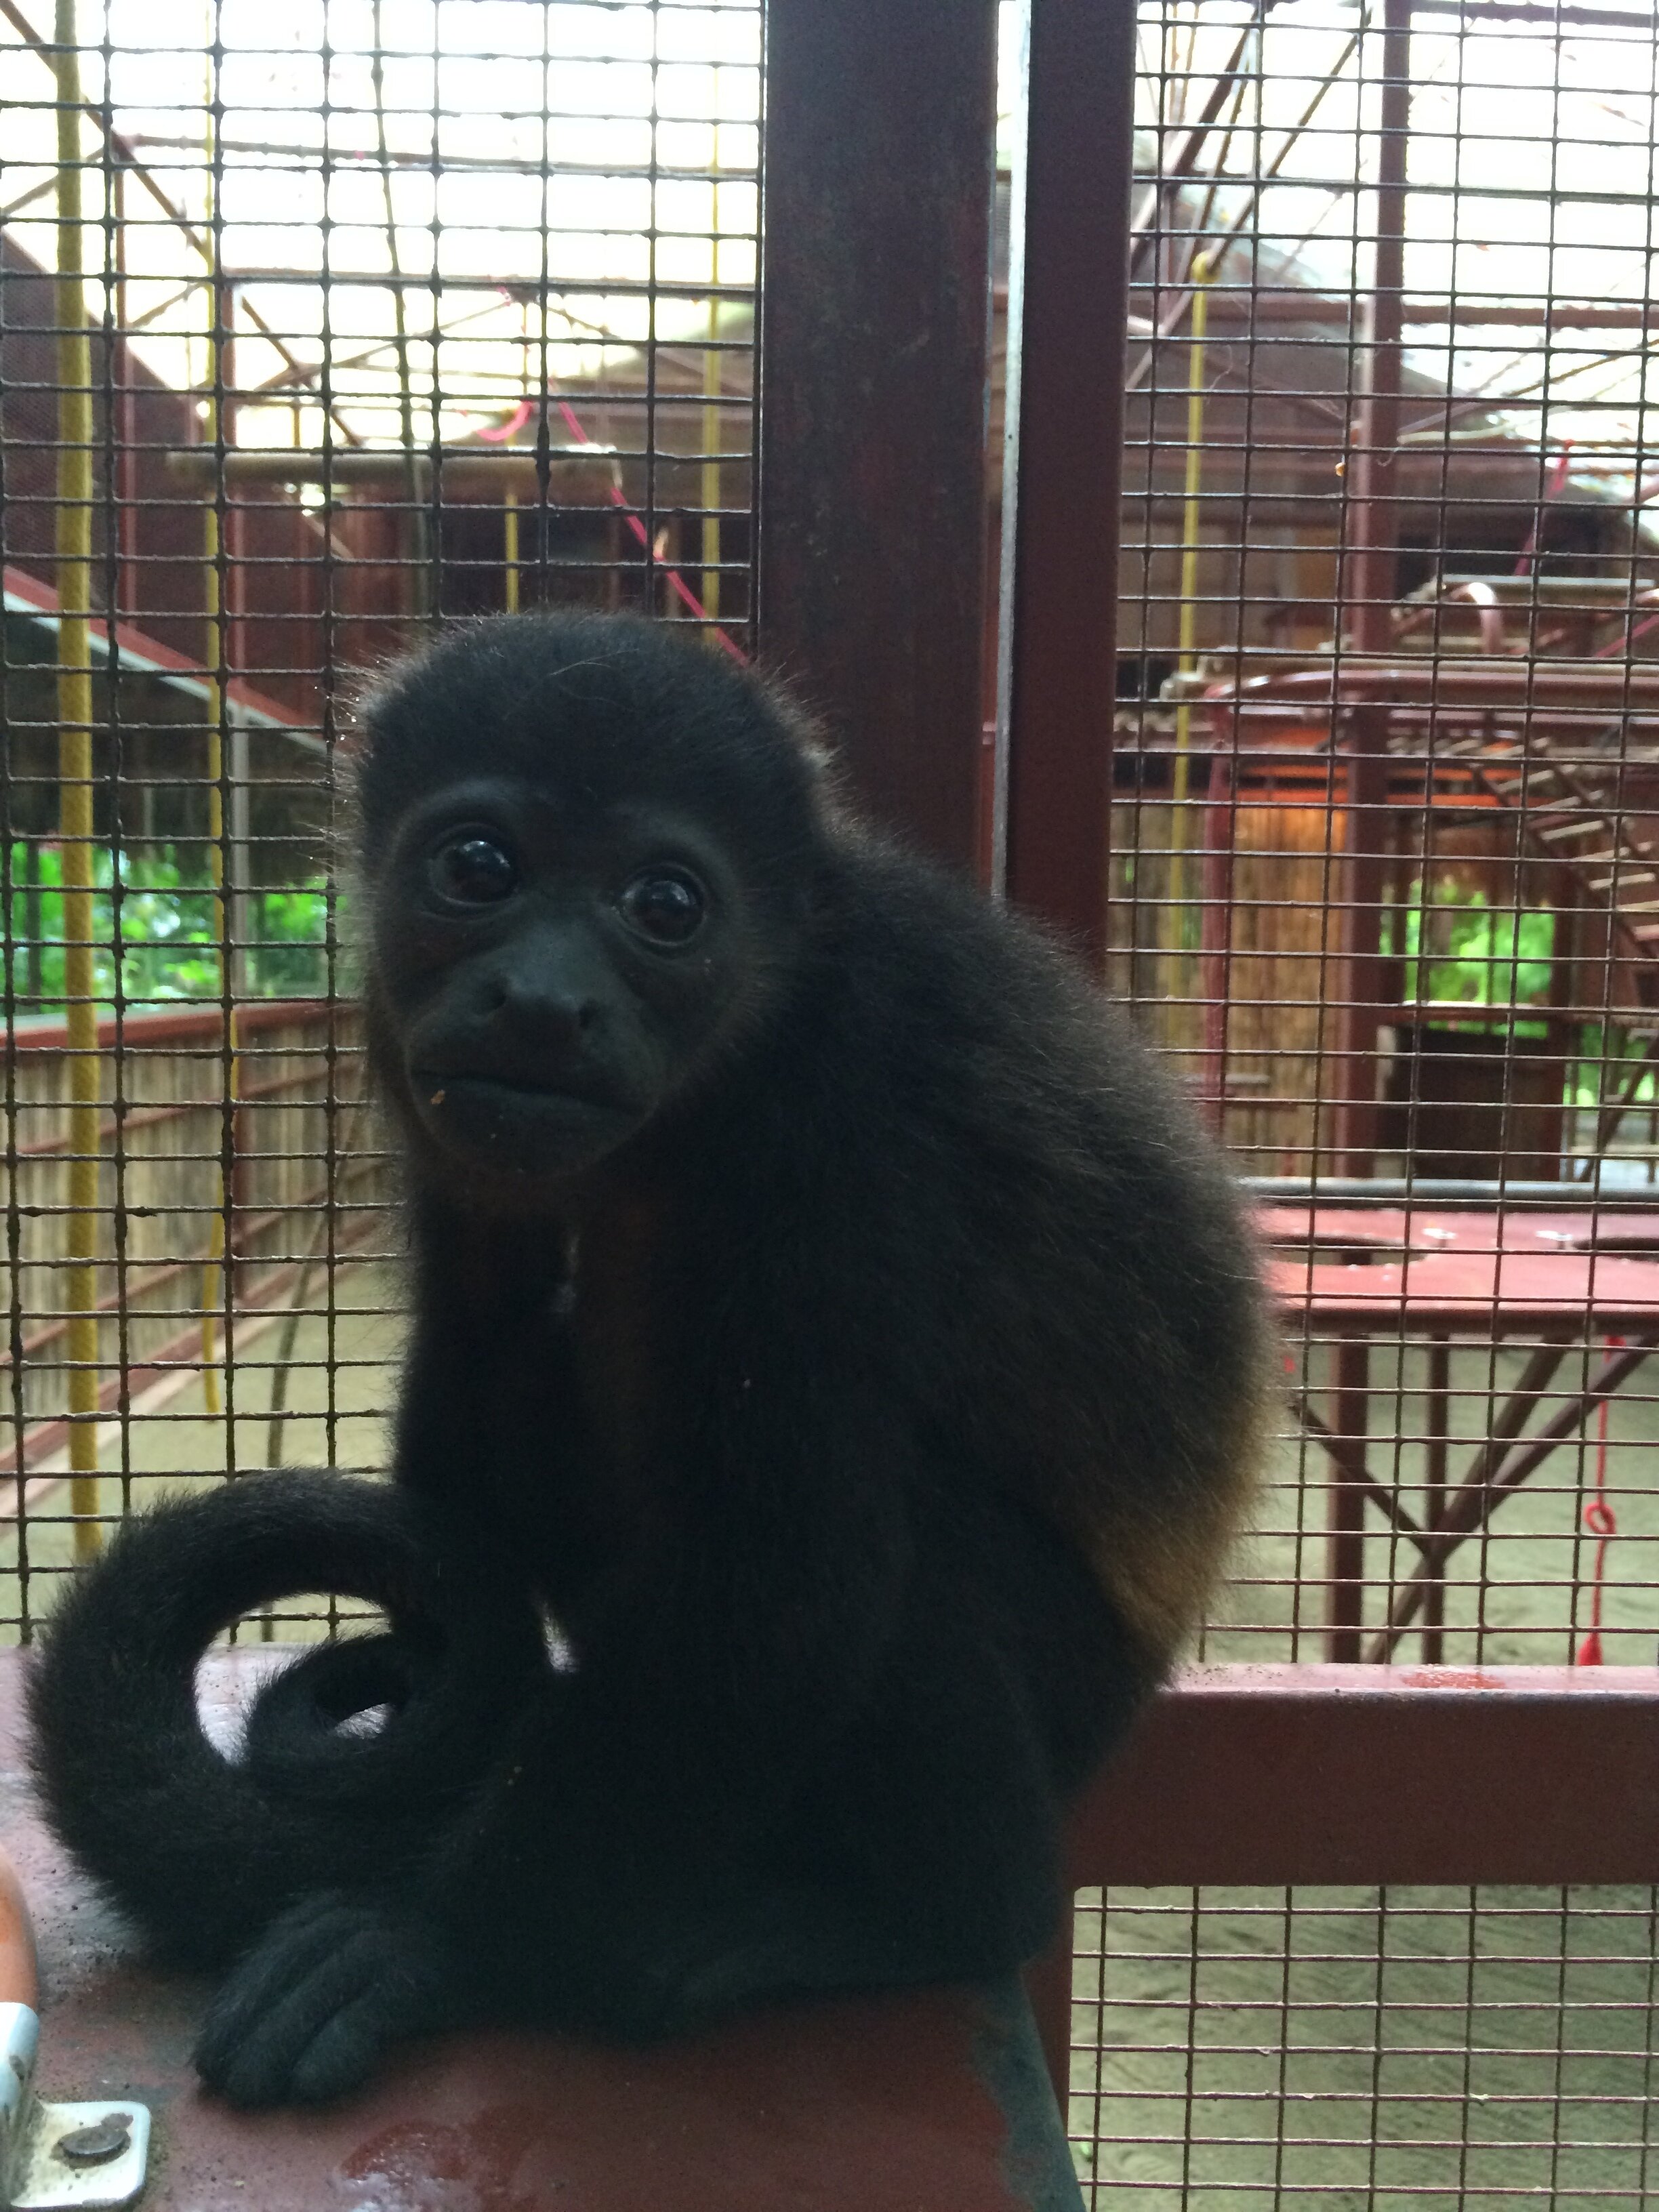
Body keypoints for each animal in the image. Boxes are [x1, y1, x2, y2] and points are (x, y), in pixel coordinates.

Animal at [28, 610, 1269, 2110]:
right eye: (478, 867)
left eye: (665, 905)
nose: (543, 1001)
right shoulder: (422, 1084)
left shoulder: (840, 1124)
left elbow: (781, 1576)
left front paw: (431, 1944)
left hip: (1071, 1684)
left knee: (917, 1561)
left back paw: (917, 1916)